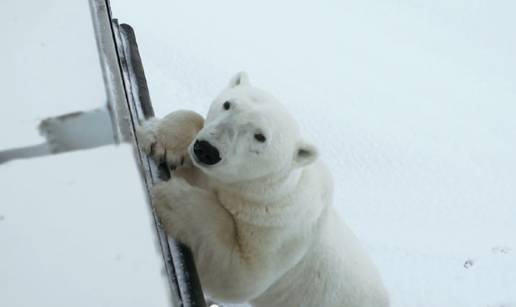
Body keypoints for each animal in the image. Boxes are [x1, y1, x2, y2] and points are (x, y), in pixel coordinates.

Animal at [136, 73, 388, 307]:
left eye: (260, 136)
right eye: (228, 104)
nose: (207, 150)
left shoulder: (277, 230)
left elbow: (238, 275)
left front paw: (171, 199)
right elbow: (193, 124)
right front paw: (162, 140)